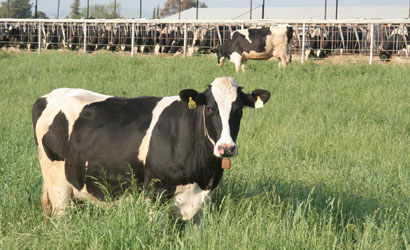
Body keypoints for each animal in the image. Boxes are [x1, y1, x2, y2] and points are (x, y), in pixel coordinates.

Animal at [31, 77, 270, 224]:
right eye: (210, 108)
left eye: (239, 110)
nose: (226, 148)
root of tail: (47, 96)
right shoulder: (155, 195)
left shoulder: (202, 200)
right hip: (57, 182)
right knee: (62, 217)